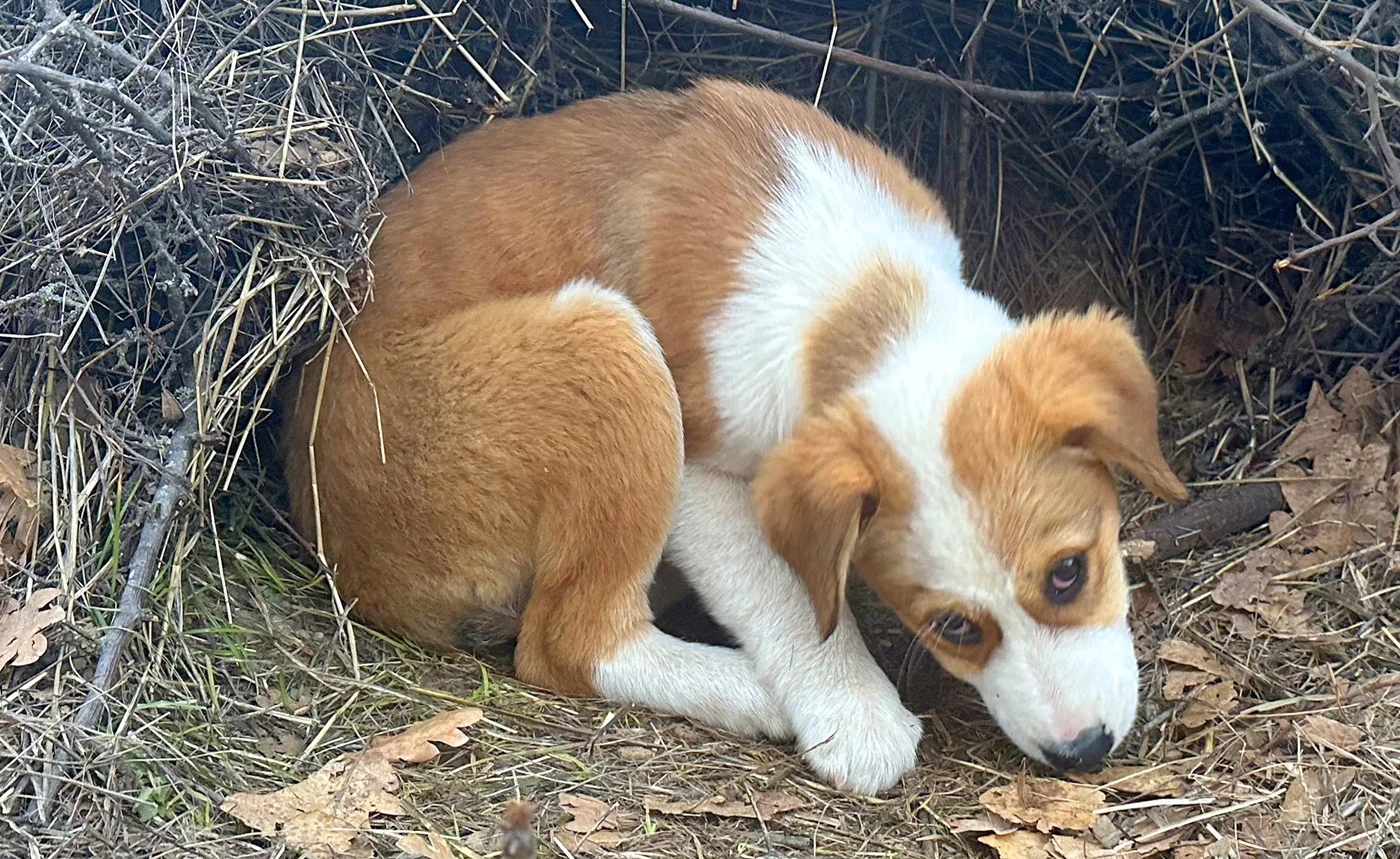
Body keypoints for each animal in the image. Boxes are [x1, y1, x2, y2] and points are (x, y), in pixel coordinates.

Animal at [281, 79, 1187, 796]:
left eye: (1069, 573)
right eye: (954, 627)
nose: (1083, 751)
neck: (853, 293)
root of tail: (341, 553)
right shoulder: (703, 473)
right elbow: (786, 597)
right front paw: (852, 710)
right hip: (607, 347)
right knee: (570, 641)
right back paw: (748, 689)